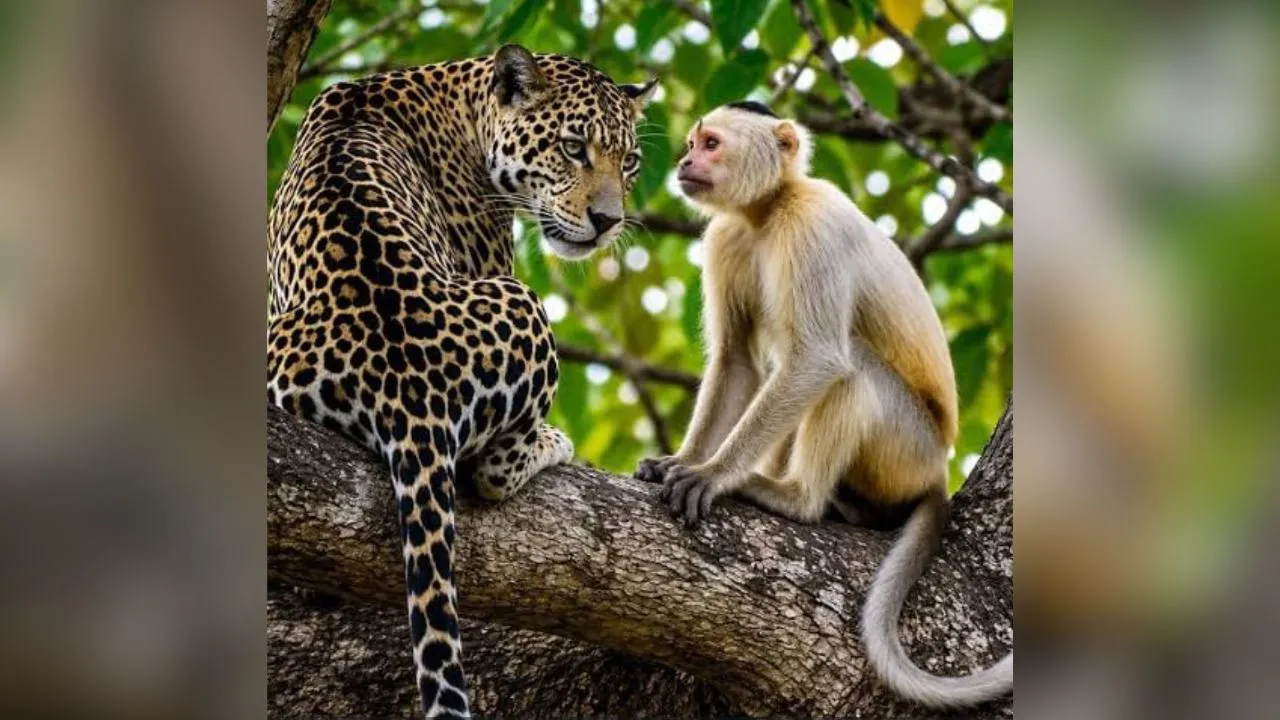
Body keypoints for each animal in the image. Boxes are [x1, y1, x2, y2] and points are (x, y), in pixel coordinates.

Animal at [267, 44, 657, 719]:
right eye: (573, 147)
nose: (609, 221)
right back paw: (550, 443)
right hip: (523, 301)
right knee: (492, 471)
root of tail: (406, 383)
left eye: (628, 162)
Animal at [634, 102, 1012, 708]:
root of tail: (939, 469)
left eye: (711, 144)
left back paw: (797, 499)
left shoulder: (813, 225)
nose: (685, 161)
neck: (767, 213)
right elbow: (737, 361)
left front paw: (713, 474)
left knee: (850, 368)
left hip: (909, 451)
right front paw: (682, 460)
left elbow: (817, 358)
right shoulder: (726, 236)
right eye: (692, 144)